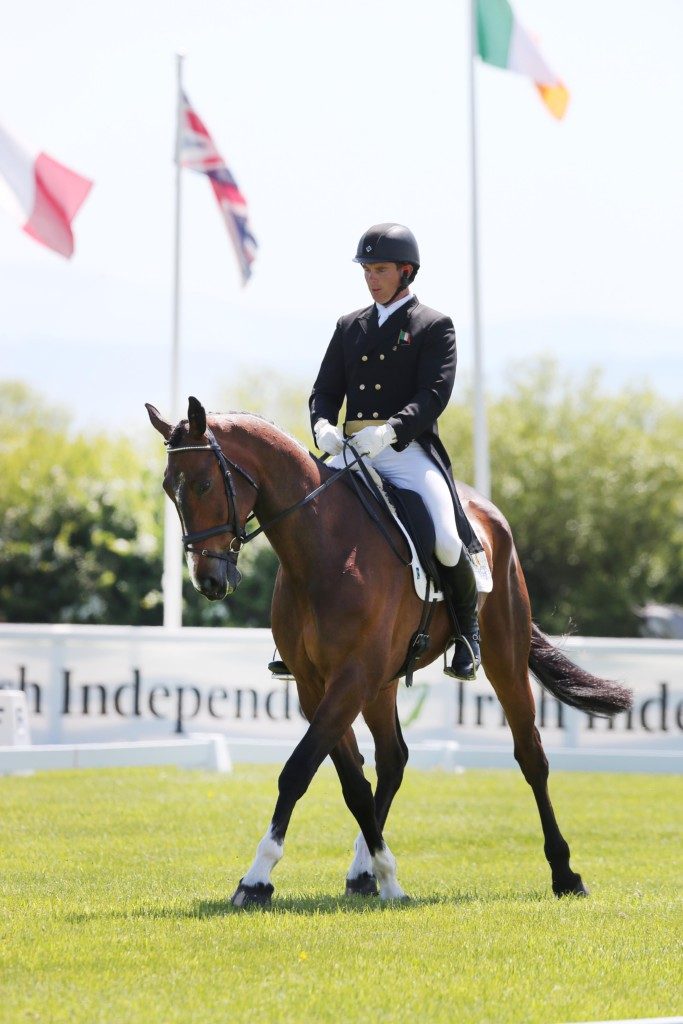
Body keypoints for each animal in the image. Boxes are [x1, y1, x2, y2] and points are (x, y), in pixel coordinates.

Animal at [147, 395, 634, 909]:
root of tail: (485, 510)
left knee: (531, 756)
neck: (322, 548)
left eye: (203, 483)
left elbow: (298, 770)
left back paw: (565, 873)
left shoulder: (352, 678)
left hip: (504, 656)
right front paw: (381, 871)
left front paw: (257, 879)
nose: (209, 581)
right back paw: (364, 872)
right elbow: (352, 781)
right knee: (393, 759)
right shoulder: (316, 685)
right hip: (382, 686)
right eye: (168, 488)